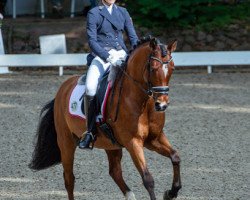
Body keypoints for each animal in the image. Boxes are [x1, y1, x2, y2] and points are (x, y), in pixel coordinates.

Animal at [28, 36, 182, 199]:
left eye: (172, 68)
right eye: (153, 68)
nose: (162, 105)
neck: (142, 102)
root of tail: (62, 89)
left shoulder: (154, 139)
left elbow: (175, 156)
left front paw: (171, 192)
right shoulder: (133, 142)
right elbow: (148, 179)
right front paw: (167, 192)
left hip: (111, 144)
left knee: (115, 172)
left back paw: (130, 195)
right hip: (66, 142)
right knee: (69, 178)